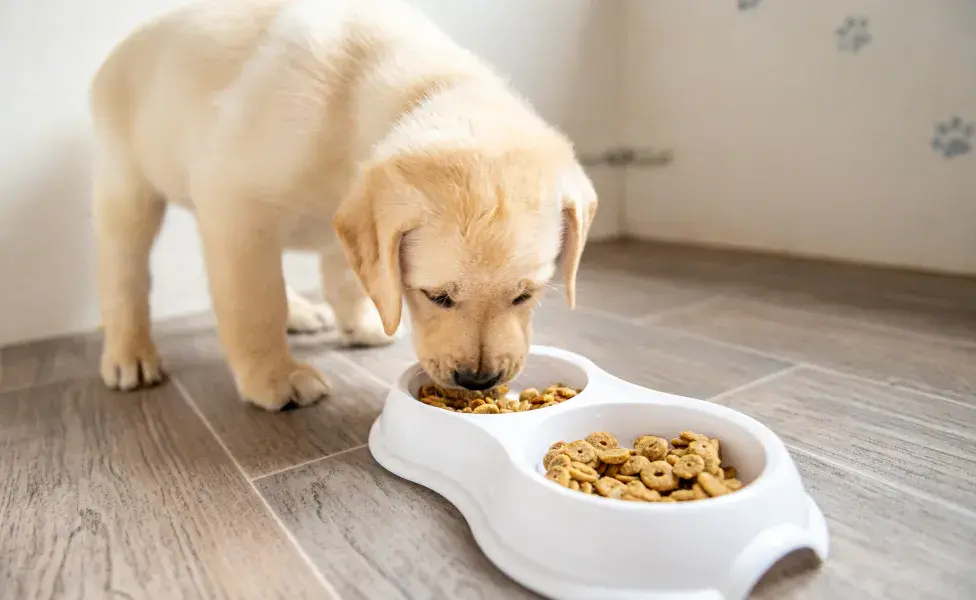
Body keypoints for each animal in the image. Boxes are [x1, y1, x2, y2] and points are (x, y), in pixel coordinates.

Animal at [91, 0, 596, 410]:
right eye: (437, 296)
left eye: (525, 295)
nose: (478, 380)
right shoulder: (235, 203)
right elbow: (255, 303)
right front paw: (274, 377)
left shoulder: (352, 220)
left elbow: (351, 277)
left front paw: (360, 323)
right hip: (127, 183)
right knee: (125, 274)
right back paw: (130, 354)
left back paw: (302, 313)